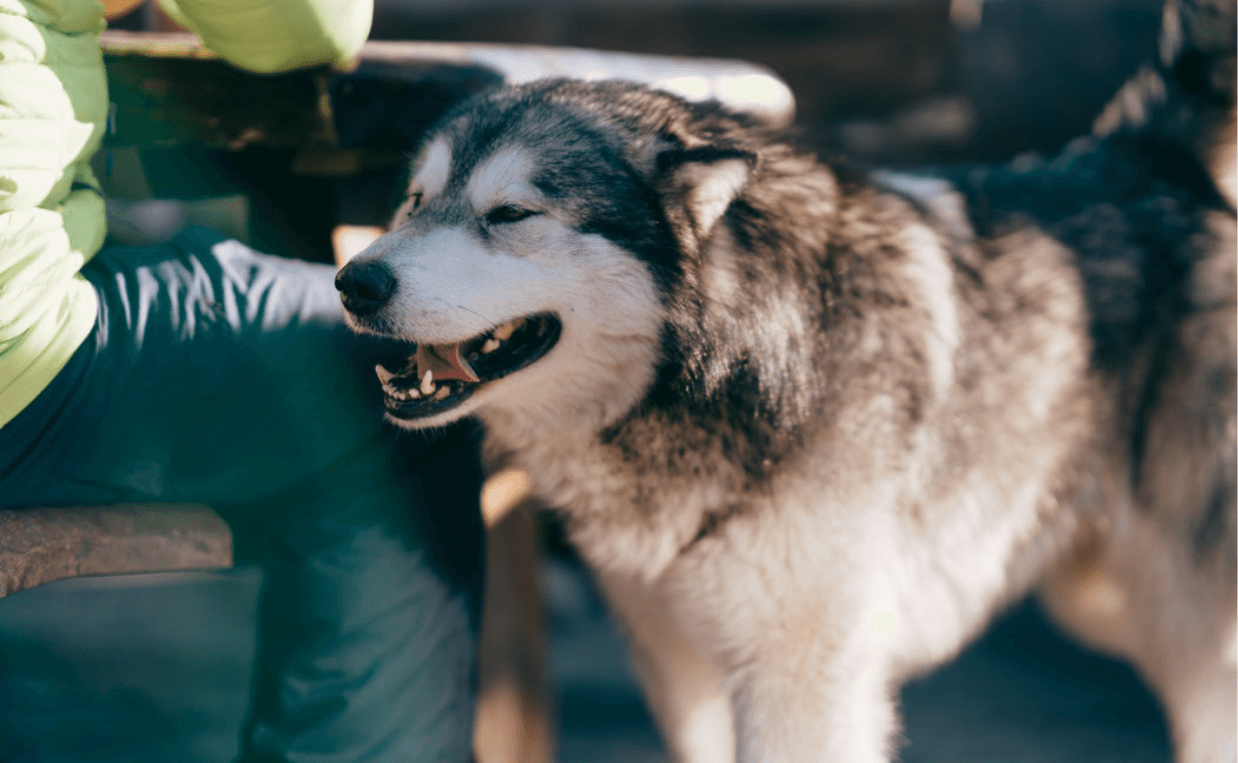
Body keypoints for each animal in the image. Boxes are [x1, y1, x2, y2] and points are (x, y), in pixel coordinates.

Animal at [339, 2, 1238, 758]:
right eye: (414, 202)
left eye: (510, 215)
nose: (354, 281)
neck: (742, 363)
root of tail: (1148, 152)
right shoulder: (685, 668)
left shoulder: (800, 678)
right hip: (1098, 601)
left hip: (1185, 623)